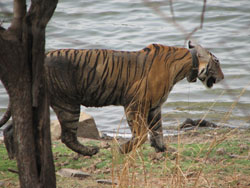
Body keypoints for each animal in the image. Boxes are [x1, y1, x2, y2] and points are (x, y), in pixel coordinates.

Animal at [0, 41, 223, 156]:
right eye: (217, 62)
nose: (222, 77)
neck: (187, 65)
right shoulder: (136, 103)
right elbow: (141, 133)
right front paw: (123, 149)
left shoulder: (154, 107)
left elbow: (157, 130)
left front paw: (162, 148)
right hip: (68, 103)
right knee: (68, 136)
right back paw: (90, 151)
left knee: (11, 128)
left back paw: (14, 156)